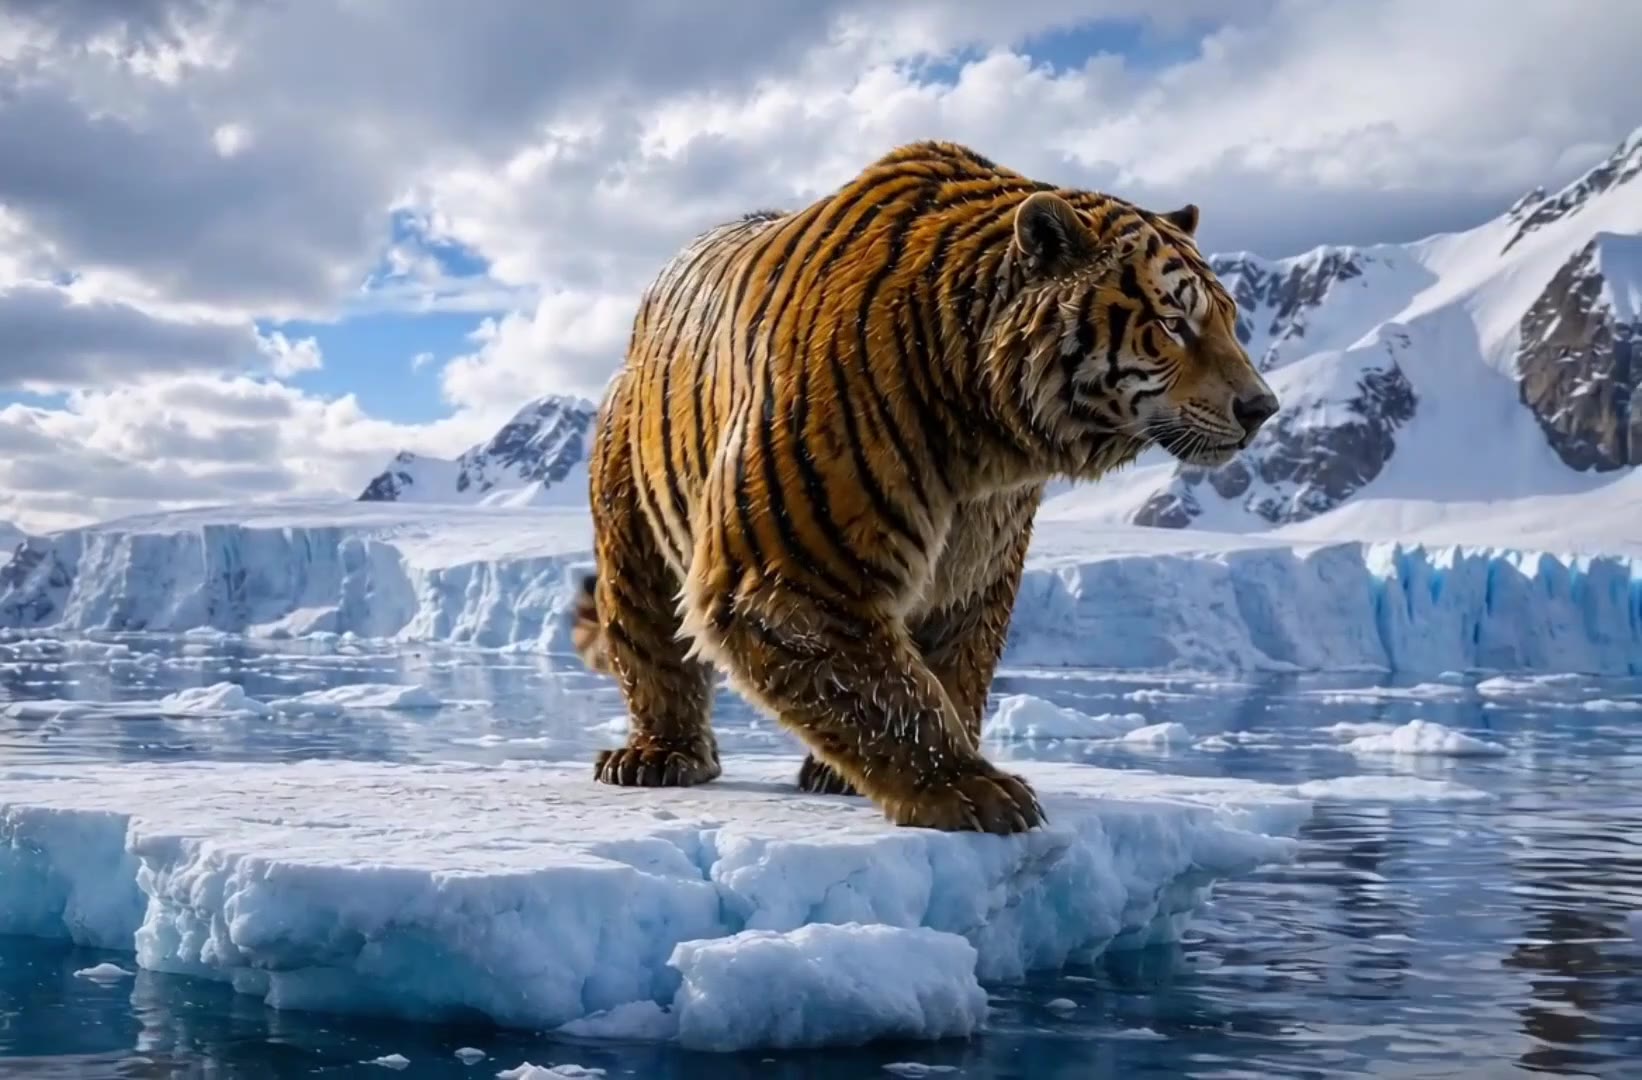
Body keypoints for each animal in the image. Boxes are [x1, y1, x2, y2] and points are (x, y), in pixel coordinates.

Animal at [571, 140, 1277, 835]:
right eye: (1175, 323)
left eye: (1231, 321)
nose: (1262, 408)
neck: (989, 438)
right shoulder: (797, 566)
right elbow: (884, 687)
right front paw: (970, 791)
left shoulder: (975, 566)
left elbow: (949, 671)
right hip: (631, 526)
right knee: (651, 644)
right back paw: (657, 756)